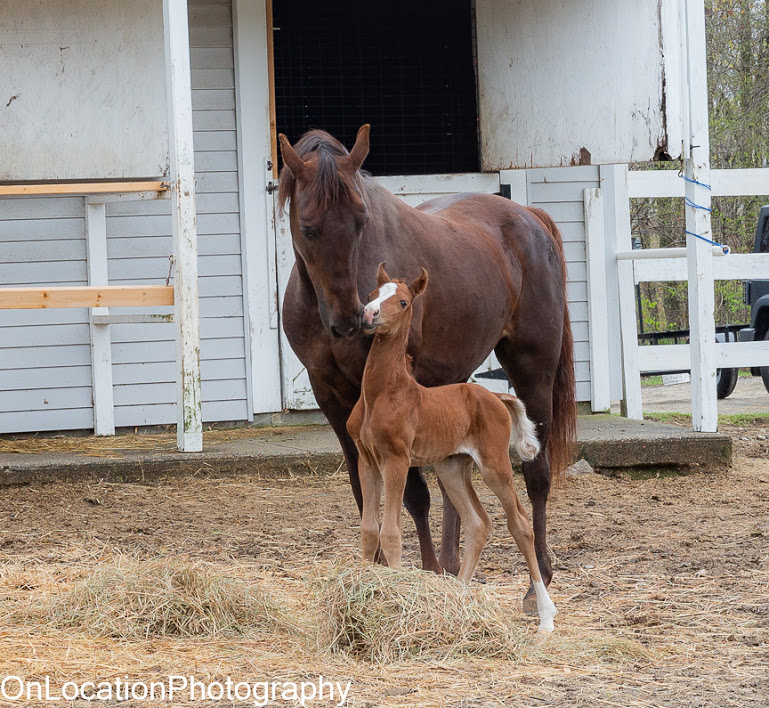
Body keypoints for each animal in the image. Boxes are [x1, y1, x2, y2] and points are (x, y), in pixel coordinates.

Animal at [346, 264, 557, 633]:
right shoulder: (367, 460)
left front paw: (394, 599)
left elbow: (391, 532)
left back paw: (545, 615)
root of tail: (496, 395)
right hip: (452, 466)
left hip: (494, 465)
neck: (382, 393)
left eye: (403, 302)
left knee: (519, 522)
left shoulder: (397, 460)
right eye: (371, 295)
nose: (369, 315)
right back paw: (457, 599)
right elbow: (370, 530)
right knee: (478, 523)